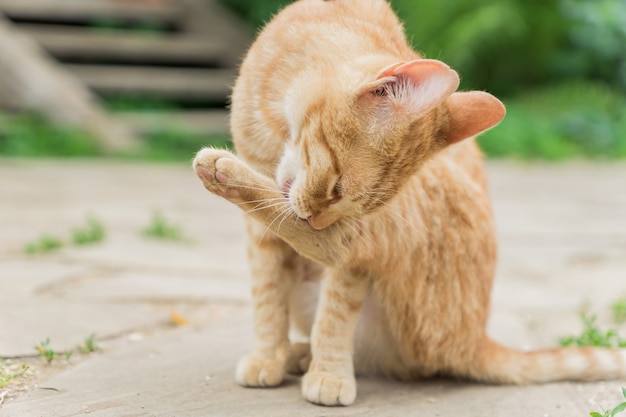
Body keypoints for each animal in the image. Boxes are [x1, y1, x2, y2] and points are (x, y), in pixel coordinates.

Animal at [193, 0, 620, 404]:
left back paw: (222, 171)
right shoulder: (262, 236)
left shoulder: (355, 251)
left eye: (349, 202)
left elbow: (334, 313)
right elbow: (267, 296)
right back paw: (297, 353)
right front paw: (269, 357)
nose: (316, 219)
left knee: (332, 252)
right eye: (336, 187)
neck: (275, 123)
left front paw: (328, 375)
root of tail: (476, 340)